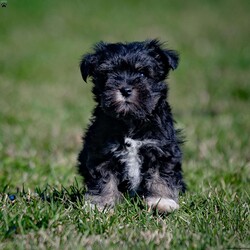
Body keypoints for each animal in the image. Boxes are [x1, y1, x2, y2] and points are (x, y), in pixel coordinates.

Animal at [78, 39, 186, 213]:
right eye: (109, 74)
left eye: (142, 73)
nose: (125, 89)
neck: (130, 120)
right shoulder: (103, 153)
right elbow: (103, 180)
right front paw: (101, 205)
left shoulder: (161, 150)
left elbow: (160, 177)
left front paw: (161, 201)